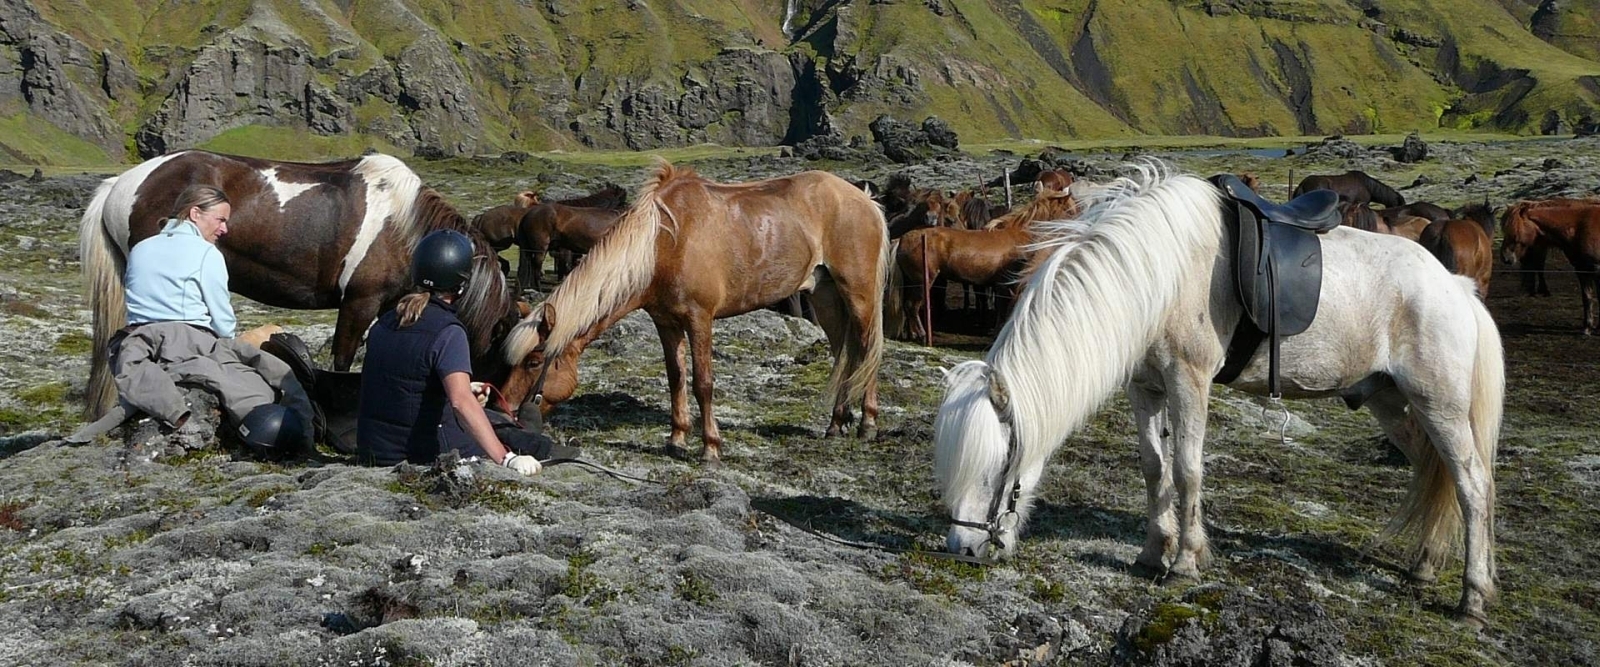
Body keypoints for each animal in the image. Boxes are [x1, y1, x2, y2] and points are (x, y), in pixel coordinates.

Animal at [80, 150, 514, 417]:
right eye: (505, 345)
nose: (500, 403)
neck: (406, 227)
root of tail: (123, 183)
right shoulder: (359, 303)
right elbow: (343, 361)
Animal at [497, 161, 889, 462]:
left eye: (534, 361)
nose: (505, 411)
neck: (663, 245)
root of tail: (865, 200)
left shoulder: (700, 319)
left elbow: (703, 382)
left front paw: (710, 448)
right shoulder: (666, 323)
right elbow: (676, 378)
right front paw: (677, 440)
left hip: (859, 295)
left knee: (867, 347)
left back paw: (868, 424)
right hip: (825, 297)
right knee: (843, 352)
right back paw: (836, 423)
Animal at [933, 165, 1502, 626]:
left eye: (996, 466)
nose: (963, 549)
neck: (1157, 272)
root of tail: (1455, 286)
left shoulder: (1189, 381)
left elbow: (1187, 469)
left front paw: (1185, 562)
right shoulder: (1145, 388)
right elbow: (1154, 468)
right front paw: (1152, 552)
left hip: (1439, 405)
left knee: (1472, 484)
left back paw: (1472, 598)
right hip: (1394, 404)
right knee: (1435, 473)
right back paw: (1425, 566)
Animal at [1501, 199, 1600, 333]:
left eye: (1515, 232)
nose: (1505, 257)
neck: (1580, 226)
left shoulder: (1596, 269)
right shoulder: (1582, 269)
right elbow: (1587, 297)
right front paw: (1587, 327)